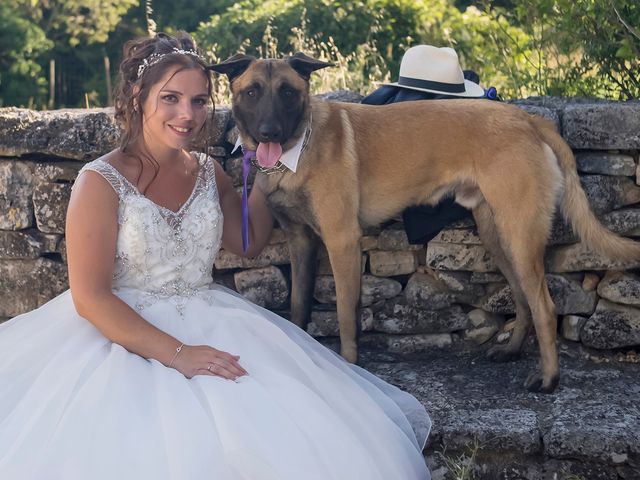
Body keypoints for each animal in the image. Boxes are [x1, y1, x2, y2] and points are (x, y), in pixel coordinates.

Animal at [209, 52, 640, 392]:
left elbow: (346, 314)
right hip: (498, 235)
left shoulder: (341, 239)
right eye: (252, 92)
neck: (299, 147)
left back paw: (548, 379)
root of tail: (529, 119)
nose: (269, 132)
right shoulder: (300, 240)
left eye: (287, 92)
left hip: (519, 234)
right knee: (523, 299)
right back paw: (513, 350)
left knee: (545, 307)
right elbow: (298, 305)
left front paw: (349, 366)